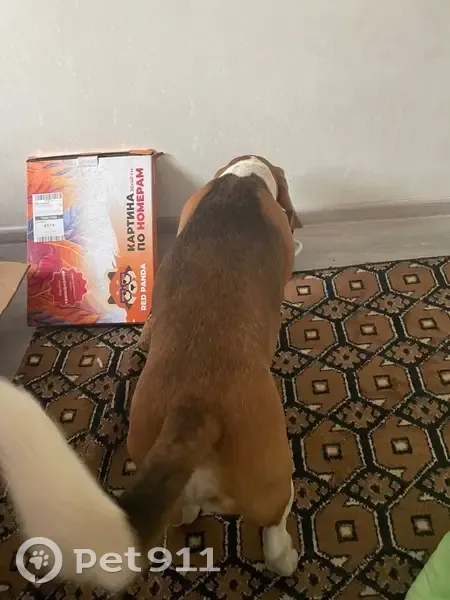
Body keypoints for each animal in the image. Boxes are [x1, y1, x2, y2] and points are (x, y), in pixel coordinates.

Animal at [0, 155, 302, 592]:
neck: (242, 180)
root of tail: (193, 411)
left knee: (181, 515)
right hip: (272, 482)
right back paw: (285, 555)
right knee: (275, 527)